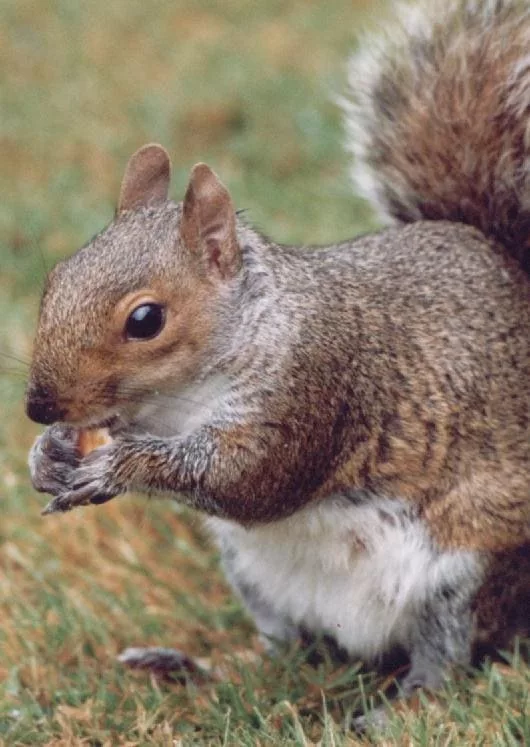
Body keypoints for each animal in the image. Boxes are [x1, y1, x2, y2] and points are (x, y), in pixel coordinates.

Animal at [26, 0, 530, 723]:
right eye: (55, 279)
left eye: (145, 320)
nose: (38, 405)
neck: (180, 399)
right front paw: (49, 454)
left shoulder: (314, 383)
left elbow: (252, 478)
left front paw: (121, 466)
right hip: (258, 581)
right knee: (292, 651)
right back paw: (194, 667)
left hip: (471, 561)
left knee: (453, 649)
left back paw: (402, 706)